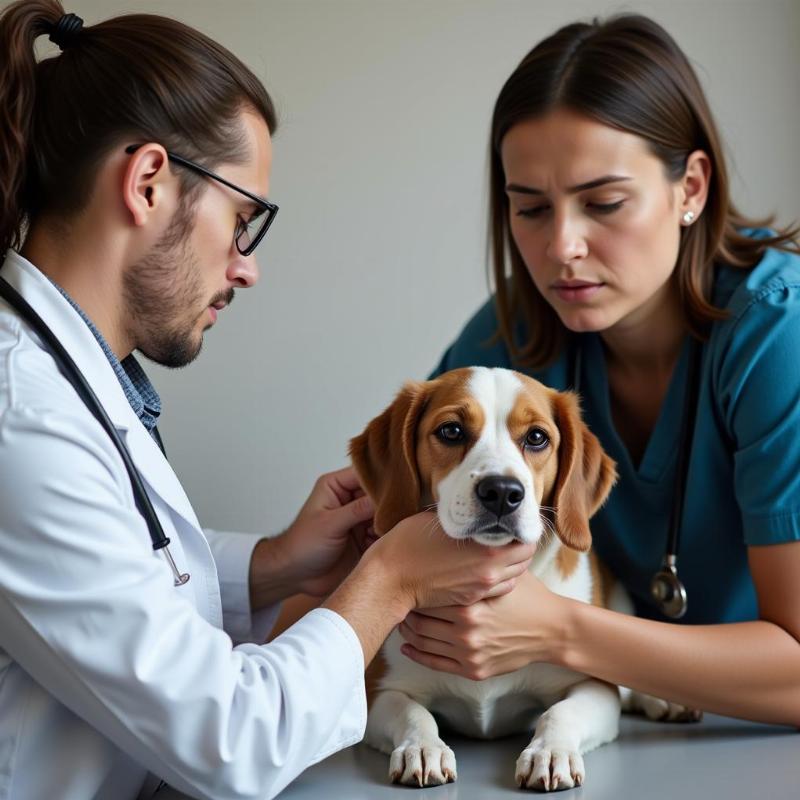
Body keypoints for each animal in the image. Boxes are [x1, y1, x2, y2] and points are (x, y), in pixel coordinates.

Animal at [350, 368, 700, 792]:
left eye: (536, 437)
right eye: (451, 431)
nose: (502, 491)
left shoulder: (593, 687)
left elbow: (561, 712)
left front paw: (550, 752)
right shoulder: (378, 692)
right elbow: (414, 714)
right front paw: (422, 746)